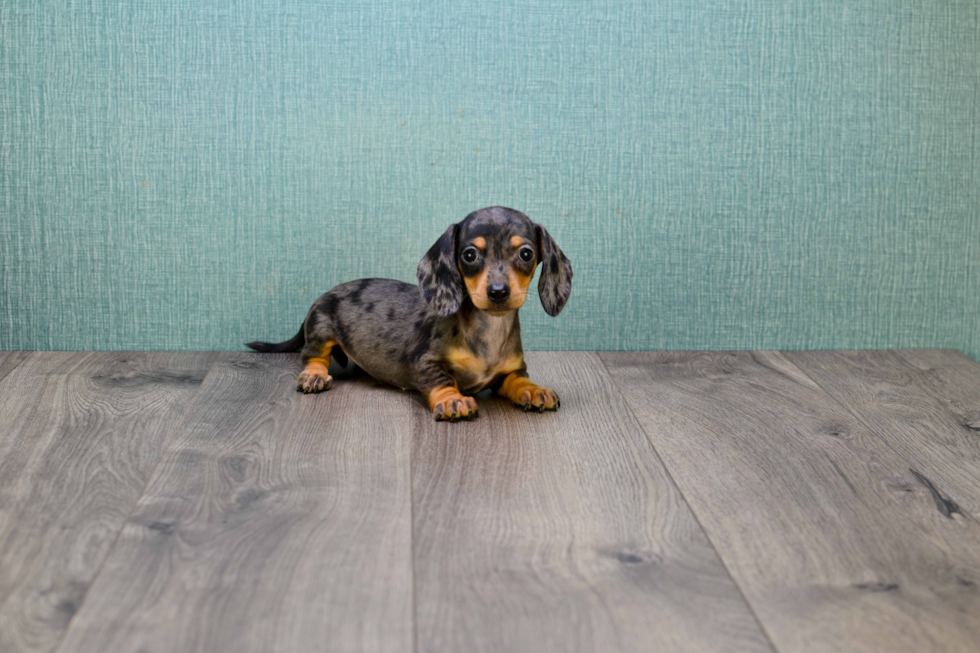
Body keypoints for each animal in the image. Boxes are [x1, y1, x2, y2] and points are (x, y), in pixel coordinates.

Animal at [245, 205, 572, 422]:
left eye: (526, 253)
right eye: (470, 254)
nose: (498, 292)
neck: (487, 330)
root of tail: (325, 293)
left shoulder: (511, 370)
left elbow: (518, 380)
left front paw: (535, 390)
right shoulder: (423, 362)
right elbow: (442, 379)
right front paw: (453, 401)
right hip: (321, 327)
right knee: (312, 355)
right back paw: (314, 375)